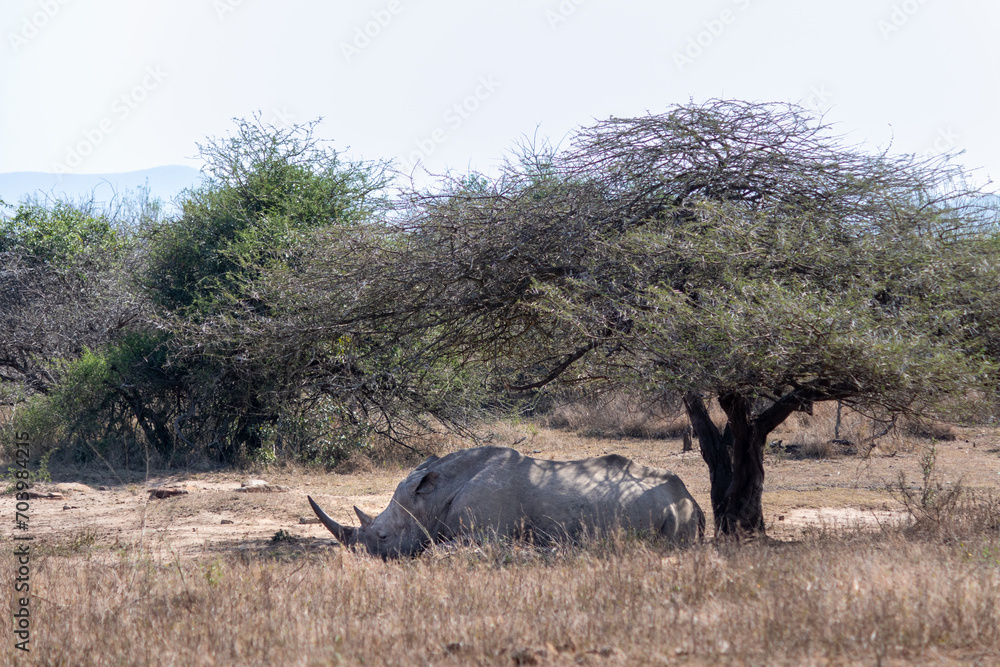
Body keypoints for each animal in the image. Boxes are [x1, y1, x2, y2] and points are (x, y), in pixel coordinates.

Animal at [307, 446, 705, 558]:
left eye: (384, 537)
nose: (362, 557)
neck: (433, 498)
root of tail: (691, 498)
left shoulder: (486, 533)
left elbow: (436, 549)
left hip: (676, 512)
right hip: (673, 506)